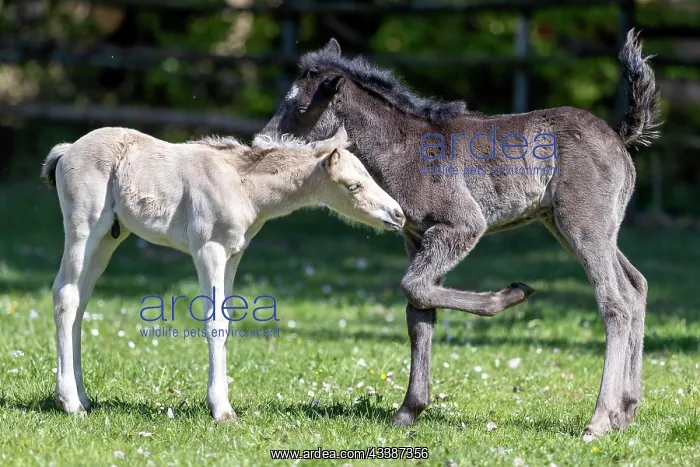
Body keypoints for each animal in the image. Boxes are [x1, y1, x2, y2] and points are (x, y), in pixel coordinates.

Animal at [40, 125, 405, 421]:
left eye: (370, 175)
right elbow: (214, 322)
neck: (243, 185)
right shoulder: (209, 249)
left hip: (108, 238)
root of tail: (67, 150)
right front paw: (221, 409)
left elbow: (227, 321)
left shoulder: (233, 253)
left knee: (80, 300)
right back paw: (70, 403)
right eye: (353, 186)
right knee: (65, 296)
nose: (398, 215)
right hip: (84, 229)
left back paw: (81, 397)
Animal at [260, 30, 661, 439]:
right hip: (580, 227)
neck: (403, 148)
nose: (263, 141)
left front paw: (510, 295)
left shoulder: (462, 226)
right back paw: (627, 410)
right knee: (636, 287)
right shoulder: (416, 237)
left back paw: (599, 418)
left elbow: (414, 287)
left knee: (616, 303)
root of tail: (619, 137)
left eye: (301, 107)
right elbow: (419, 310)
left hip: (584, 225)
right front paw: (408, 410)